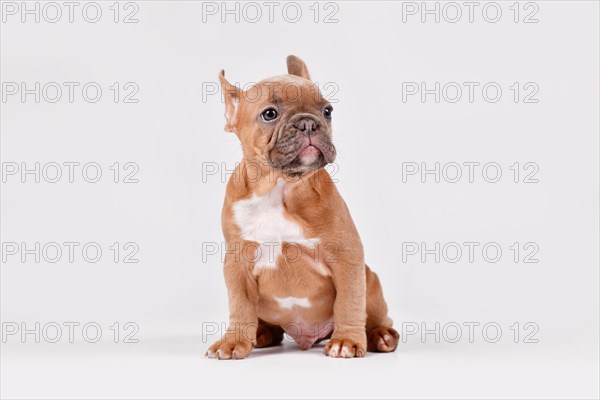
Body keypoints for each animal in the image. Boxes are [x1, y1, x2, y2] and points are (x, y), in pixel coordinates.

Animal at [206, 55, 398, 360]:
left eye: (327, 111)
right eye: (269, 114)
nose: (309, 123)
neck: (280, 187)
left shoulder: (347, 257)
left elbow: (349, 302)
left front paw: (347, 341)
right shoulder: (237, 262)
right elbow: (240, 306)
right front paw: (234, 341)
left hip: (371, 280)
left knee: (376, 315)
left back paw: (380, 336)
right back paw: (261, 334)